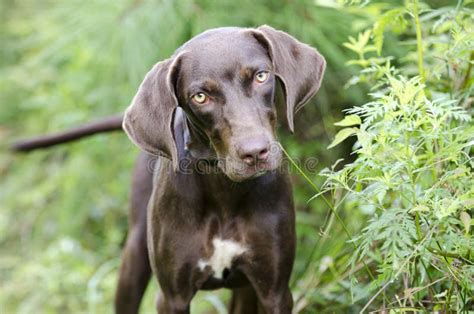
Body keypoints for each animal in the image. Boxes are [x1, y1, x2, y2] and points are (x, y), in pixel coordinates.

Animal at [12, 25, 326, 312]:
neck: (224, 190)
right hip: (134, 257)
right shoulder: (173, 296)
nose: (255, 152)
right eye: (200, 96)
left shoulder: (274, 291)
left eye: (261, 76)